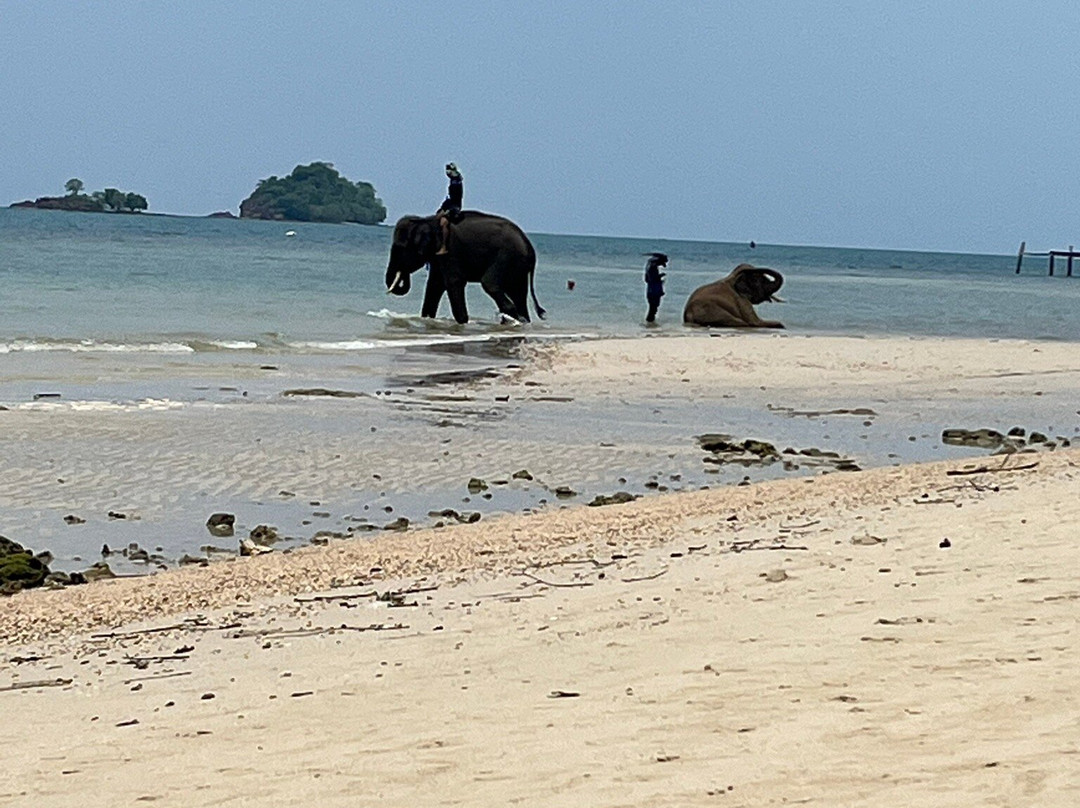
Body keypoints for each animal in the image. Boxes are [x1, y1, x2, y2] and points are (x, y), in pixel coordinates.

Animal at [384, 211, 546, 324]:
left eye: (400, 248)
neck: (426, 219)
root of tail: (530, 247)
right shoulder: (438, 256)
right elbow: (435, 285)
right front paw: (427, 318)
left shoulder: (450, 251)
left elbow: (453, 282)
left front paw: (462, 321)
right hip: (518, 266)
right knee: (518, 294)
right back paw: (521, 321)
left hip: (505, 257)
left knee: (490, 284)